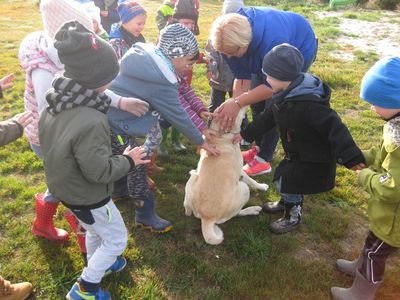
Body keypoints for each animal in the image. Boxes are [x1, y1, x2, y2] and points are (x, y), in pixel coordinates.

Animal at [184, 106, 268, 245]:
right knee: (238, 213)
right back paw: (253, 209)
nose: (244, 103)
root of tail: (207, 218)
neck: (220, 134)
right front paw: (262, 186)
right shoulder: (240, 171)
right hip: (244, 189)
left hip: (192, 182)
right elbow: (251, 180)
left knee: (187, 210)